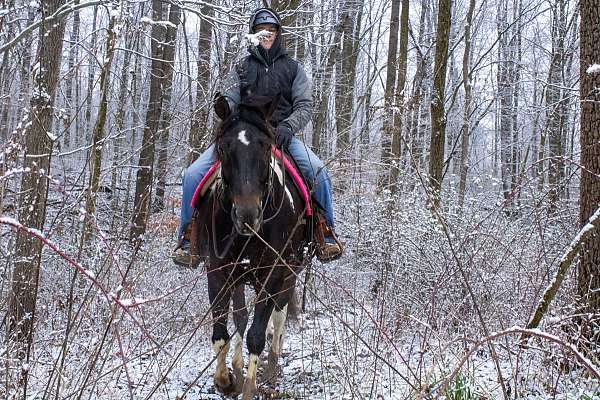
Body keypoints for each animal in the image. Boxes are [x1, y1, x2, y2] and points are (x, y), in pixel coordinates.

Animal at [195, 94, 312, 400]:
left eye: (266, 146)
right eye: (223, 147)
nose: (247, 215)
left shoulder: (272, 273)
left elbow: (257, 334)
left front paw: (249, 386)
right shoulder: (218, 270)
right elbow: (222, 332)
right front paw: (226, 379)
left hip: (289, 272)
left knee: (279, 316)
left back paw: (272, 368)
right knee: (241, 317)